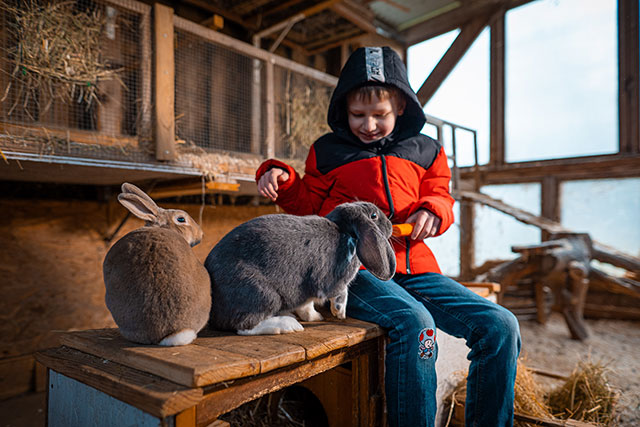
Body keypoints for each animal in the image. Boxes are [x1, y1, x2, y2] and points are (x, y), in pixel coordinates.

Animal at [205, 201, 396, 335]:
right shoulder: (334, 281)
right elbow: (341, 293)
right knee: (244, 326)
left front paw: (316, 317)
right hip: (263, 294)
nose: (390, 224)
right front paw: (339, 312)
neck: (344, 230)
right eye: (373, 215)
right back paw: (288, 325)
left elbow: (307, 305)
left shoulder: (306, 289)